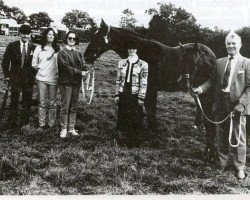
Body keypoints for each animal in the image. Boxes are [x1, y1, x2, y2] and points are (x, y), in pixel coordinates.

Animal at [84, 19, 217, 158]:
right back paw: (196, 125)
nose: (86, 56)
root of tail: (211, 54)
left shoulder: (151, 88)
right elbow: (148, 108)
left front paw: (153, 129)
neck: (144, 53)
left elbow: (151, 108)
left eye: (99, 37)